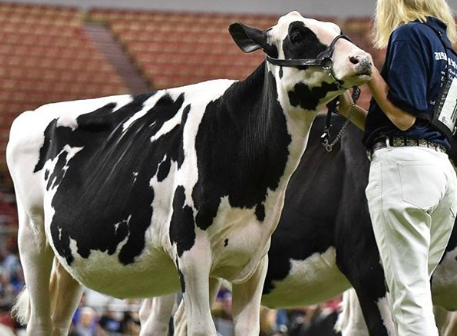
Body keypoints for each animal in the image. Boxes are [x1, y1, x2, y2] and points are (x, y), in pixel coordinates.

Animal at [5, 10, 372, 336]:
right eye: (297, 36)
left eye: (337, 30)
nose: (363, 59)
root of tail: (33, 113)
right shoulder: (190, 251)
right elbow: (201, 328)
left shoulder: (254, 259)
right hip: (32, 237)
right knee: (39, 323)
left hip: (69, 257)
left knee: (60, 322)